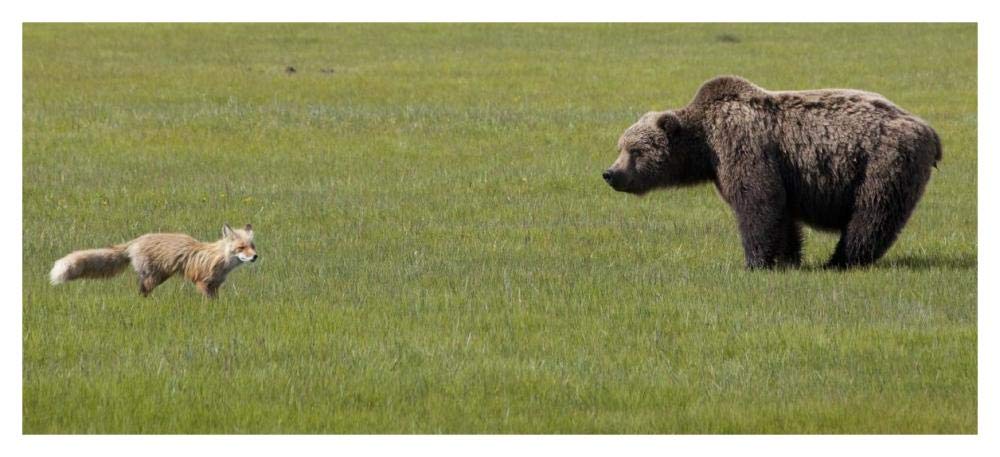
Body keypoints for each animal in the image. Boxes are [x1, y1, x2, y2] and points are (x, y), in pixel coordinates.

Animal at [49, 223, 258, 298]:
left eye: (252, 246)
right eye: (241, 248)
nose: (255, 257)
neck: (219, 259)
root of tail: (136, 240)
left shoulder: (215, 285)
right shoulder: (202, 282)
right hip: (154, 277)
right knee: (141, 292)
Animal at [603, 76, 941, 269]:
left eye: (636, 150)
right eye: (620, 146)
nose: (610, 173)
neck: (705, 146)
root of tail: (928, 129)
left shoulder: (744, 146)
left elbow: (758, 202)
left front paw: (755, 262)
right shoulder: (783, 172)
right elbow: (784, 216)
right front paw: (789, 259)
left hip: (882, 162)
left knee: (872, 214)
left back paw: (841, 260)